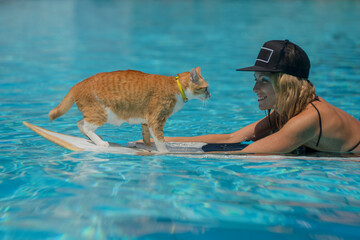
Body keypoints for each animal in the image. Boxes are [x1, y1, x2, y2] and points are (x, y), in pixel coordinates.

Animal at [49, 66, 210, 152]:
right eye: (206, 88)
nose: (210, 95)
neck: (176, 87)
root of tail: (77, 84)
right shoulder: (156, 120)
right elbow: (160, 140)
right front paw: (164, 152)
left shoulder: (147, 120)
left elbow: (147, 136)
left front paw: (149, 146)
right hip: (102, 113)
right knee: (86, 126)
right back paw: (100, 143)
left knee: (80, 123)